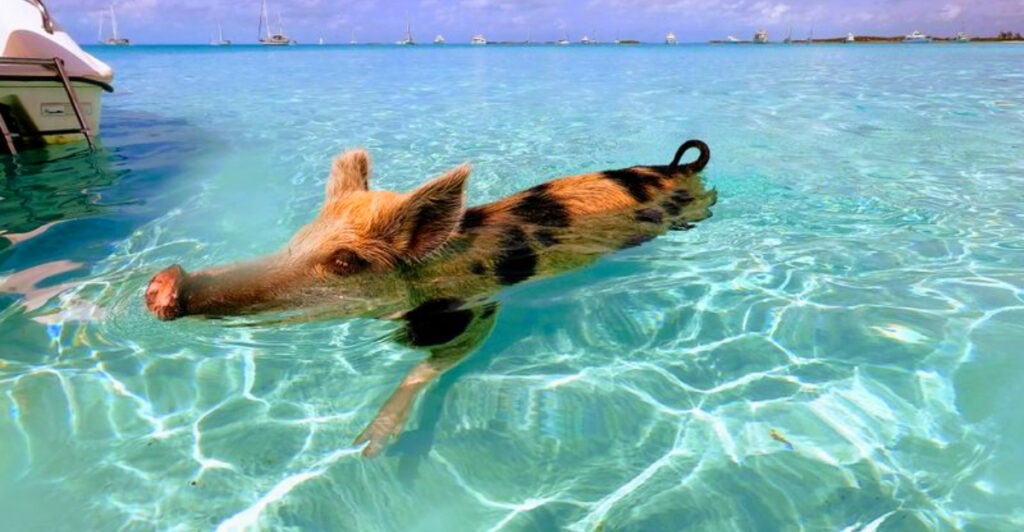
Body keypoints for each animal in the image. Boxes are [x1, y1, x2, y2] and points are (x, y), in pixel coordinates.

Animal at [145, 140, 715, 457]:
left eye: (345, 262)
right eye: (298, 238)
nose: (166, 283)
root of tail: (680, 167)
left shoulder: (476, 306)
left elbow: (437, 363)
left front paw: (367, 449)